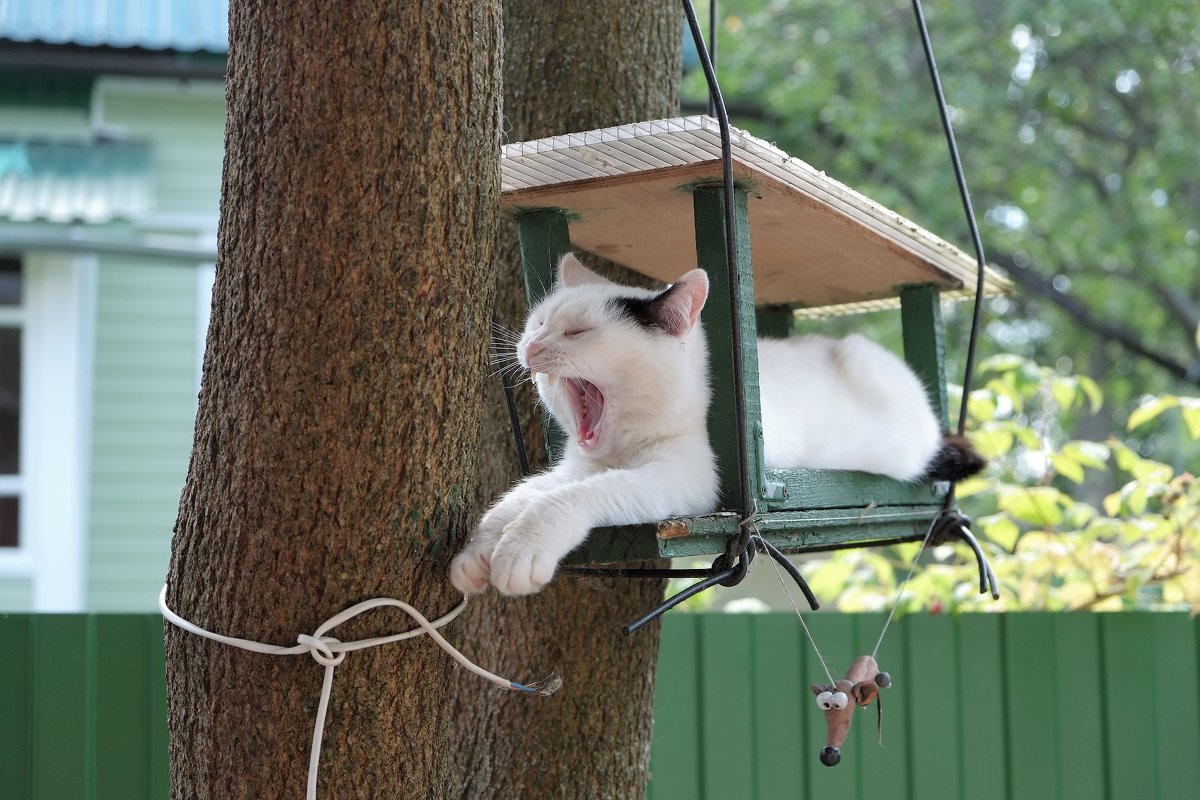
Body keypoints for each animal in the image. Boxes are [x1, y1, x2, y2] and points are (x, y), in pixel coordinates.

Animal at [451, 253, 984, 597]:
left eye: (579, 332)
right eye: (538, 323)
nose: (531, 347)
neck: (619, 449)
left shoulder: (684, 481)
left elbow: (569, 499)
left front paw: (520, 551)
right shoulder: (573, 469)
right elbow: (520, 497)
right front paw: (479, 552)